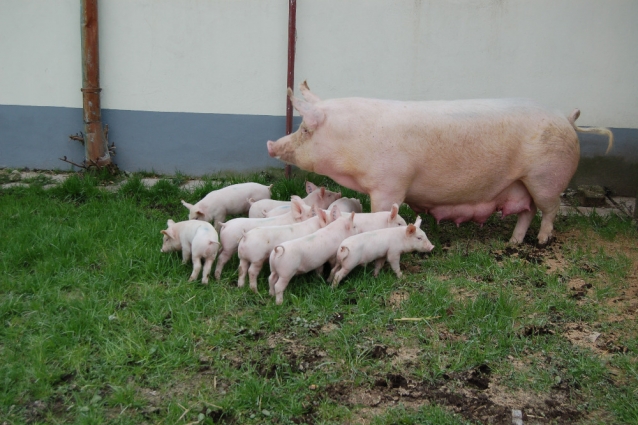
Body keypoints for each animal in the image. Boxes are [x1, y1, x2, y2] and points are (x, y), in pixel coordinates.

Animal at [268, 81, 616, 243]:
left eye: (305, 129)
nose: (272, 145)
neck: (352, 142)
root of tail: (567, 119)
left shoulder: (390, 184)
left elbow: (381, 210)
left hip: (546, 178)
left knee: (550, 209)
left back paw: (542, 241)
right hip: (521, 183)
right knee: (527, 211)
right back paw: (513, 243)